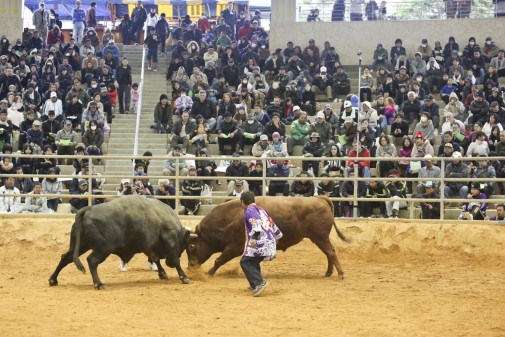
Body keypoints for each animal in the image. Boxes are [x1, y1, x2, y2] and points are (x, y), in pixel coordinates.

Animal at [49, 194, 191, 288]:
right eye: (184, 245)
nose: (169, 264)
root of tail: (87, 209)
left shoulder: (149, 246)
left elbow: (155, 259)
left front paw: (162, 273)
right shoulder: (169, 240)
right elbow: (175, 260)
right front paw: (184, 277)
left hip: (80, 245)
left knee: (65, 257)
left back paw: (53, 280)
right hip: (103, 248)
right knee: (92, 261)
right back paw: (98, 283)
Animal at [186, 196, 350, 276]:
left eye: (192, 247)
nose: (190, 268)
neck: (229, 218)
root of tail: (319, 198)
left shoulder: (235, 247)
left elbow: (219, 260)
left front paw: (209, 272)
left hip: (320, 237)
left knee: (331, 252)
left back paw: (341, 273)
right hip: (319, 239)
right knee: (329, 253)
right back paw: (329, 272)